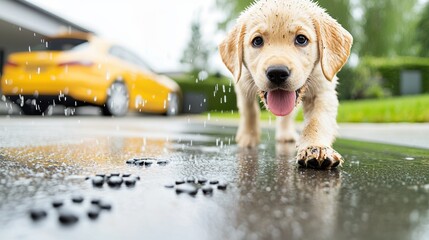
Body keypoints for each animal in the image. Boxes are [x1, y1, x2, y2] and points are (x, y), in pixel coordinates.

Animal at [219, 0, 352, 170]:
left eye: (301, 39)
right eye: (257, 41)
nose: (277, 73)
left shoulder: (322, 88)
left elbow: (317, 121)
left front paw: (316, 148)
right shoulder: (242, 83)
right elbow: (249, 111)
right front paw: (248, 138)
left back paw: (286, 135)